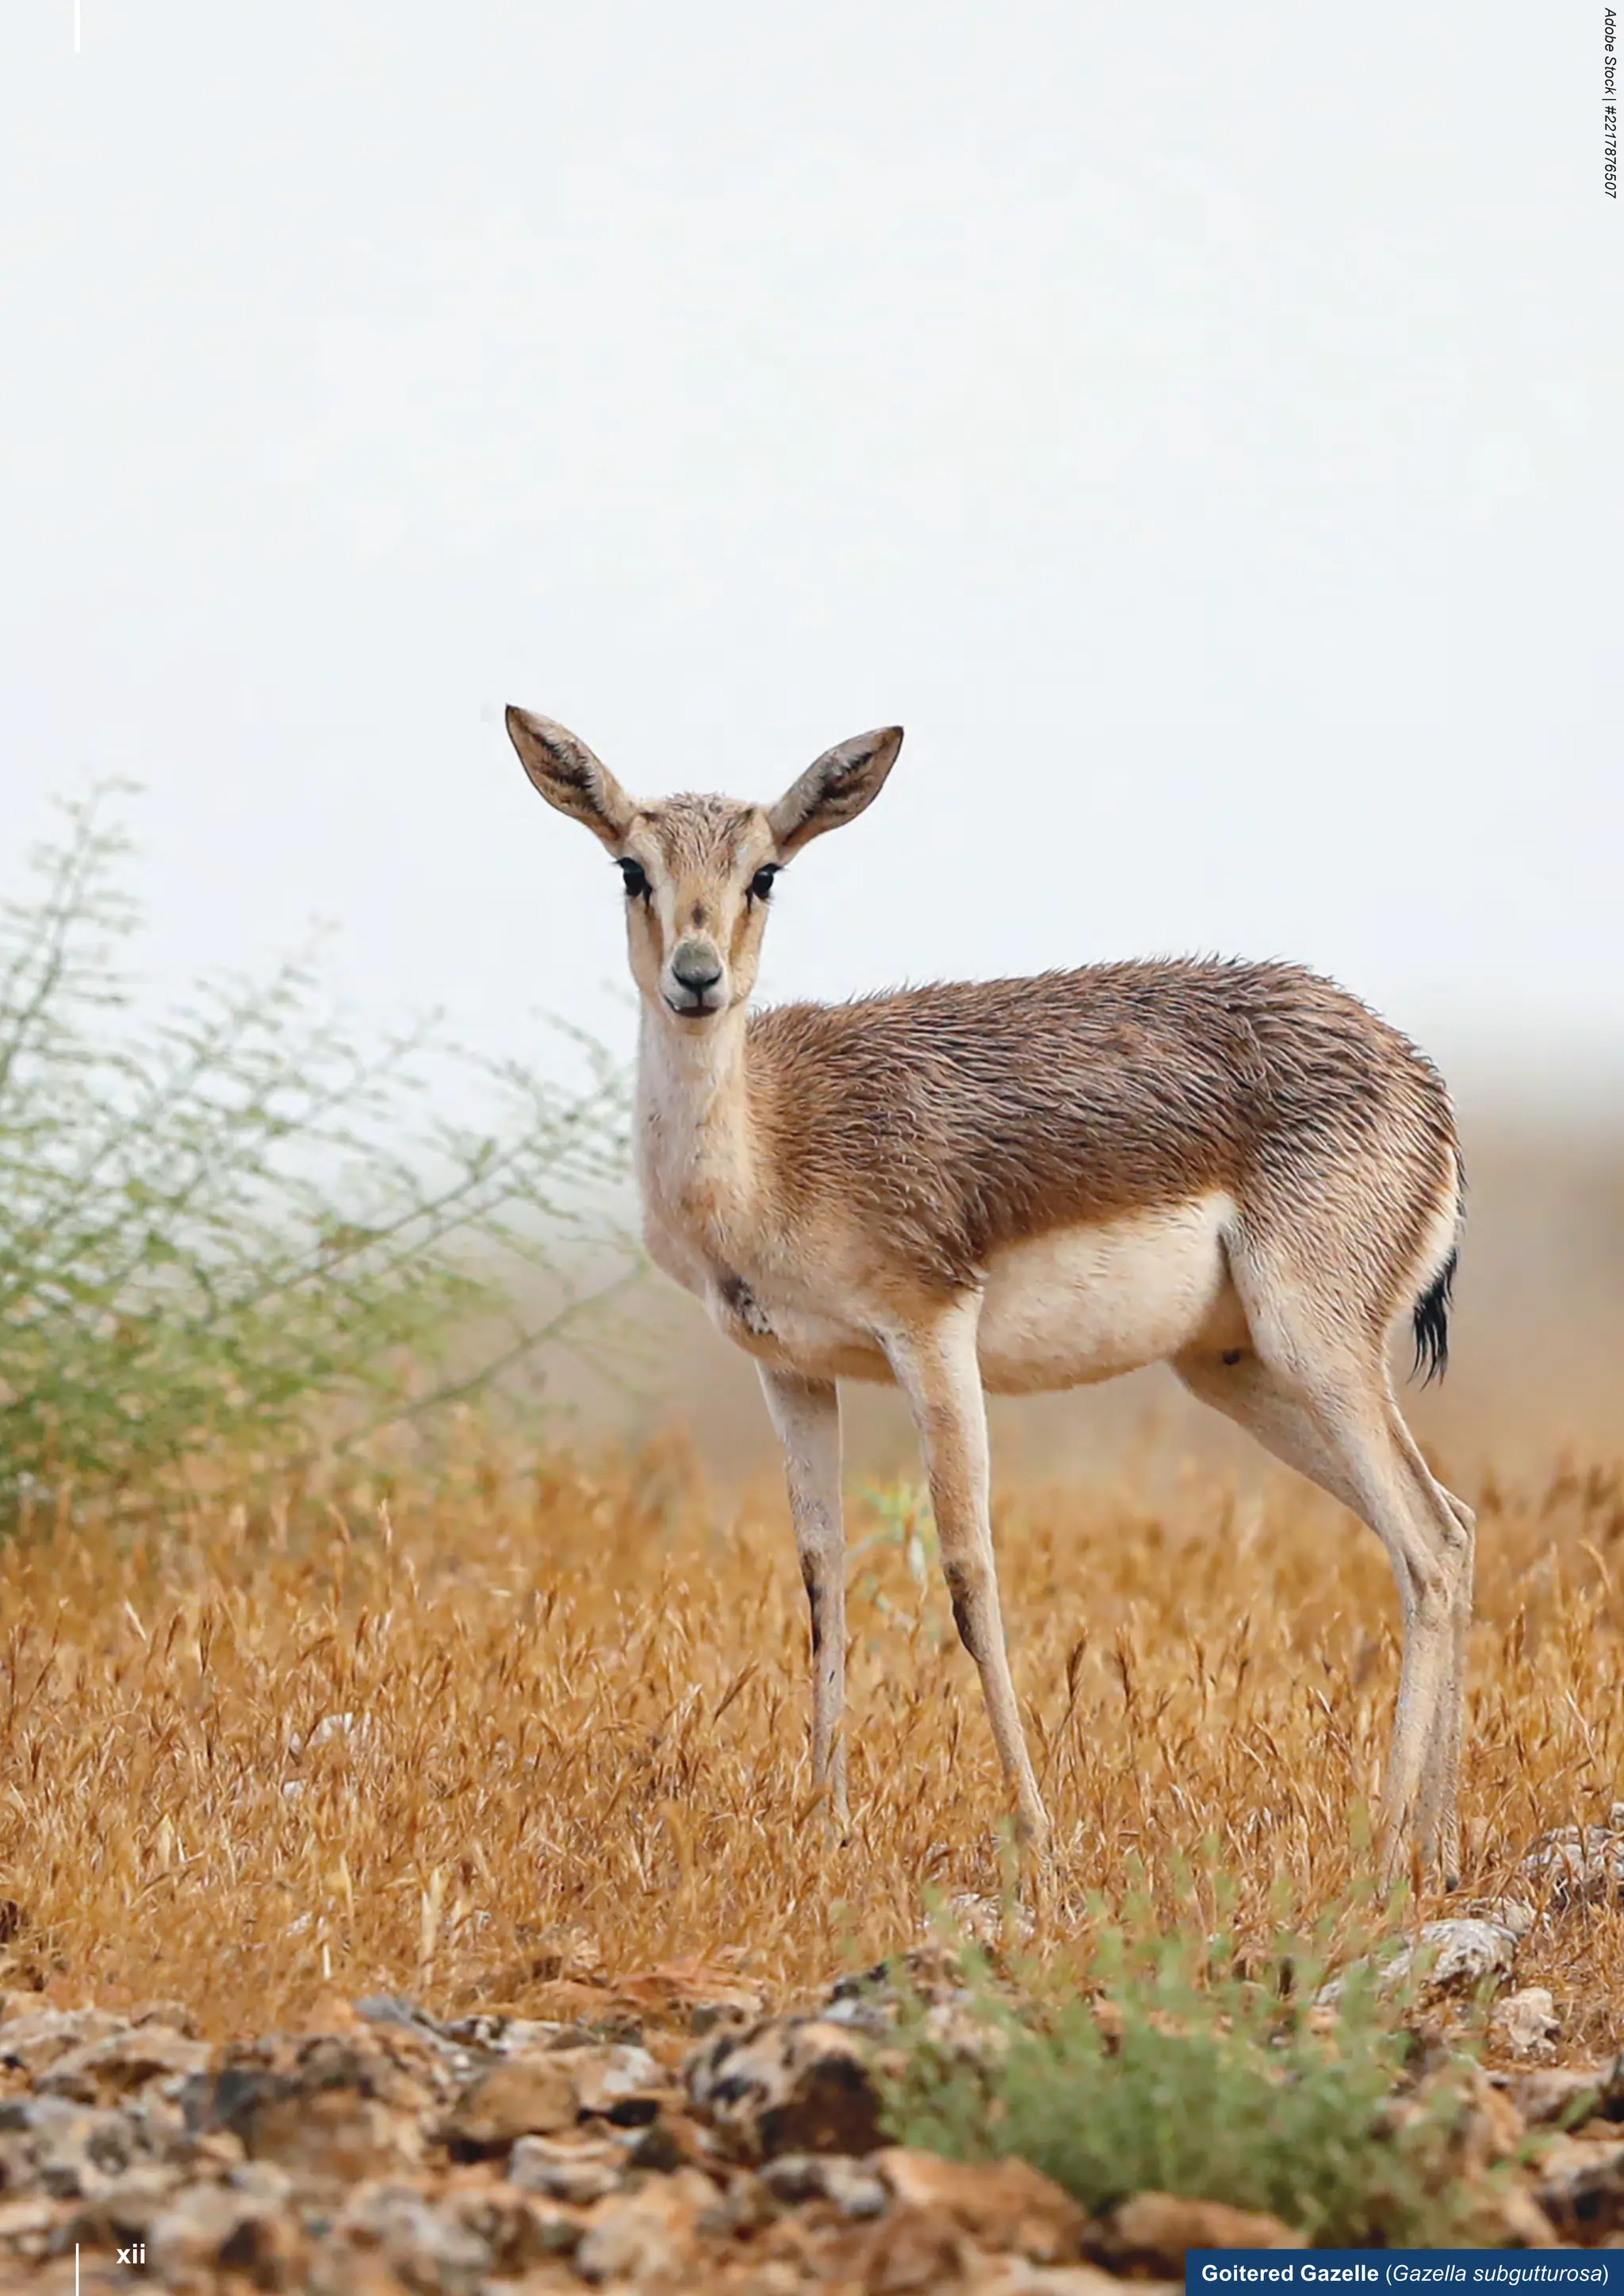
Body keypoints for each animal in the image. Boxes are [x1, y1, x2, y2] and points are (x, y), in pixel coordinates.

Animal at [506, 707, 1473, 1882]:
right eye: (630, 867)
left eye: (765, 871)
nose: (696, 979)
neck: (772, 1141)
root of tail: (1422, 1086)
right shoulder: (790, 1370)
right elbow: (822, 1579)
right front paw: (827, 1823)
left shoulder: (930, 1334)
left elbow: (970, 1575)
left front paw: (1039, 1839)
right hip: (1238, 1372)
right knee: (1454, 1529)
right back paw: (1436, 1851)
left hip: (1318, 1351)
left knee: (1424, 1549)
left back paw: (1378, 1860)